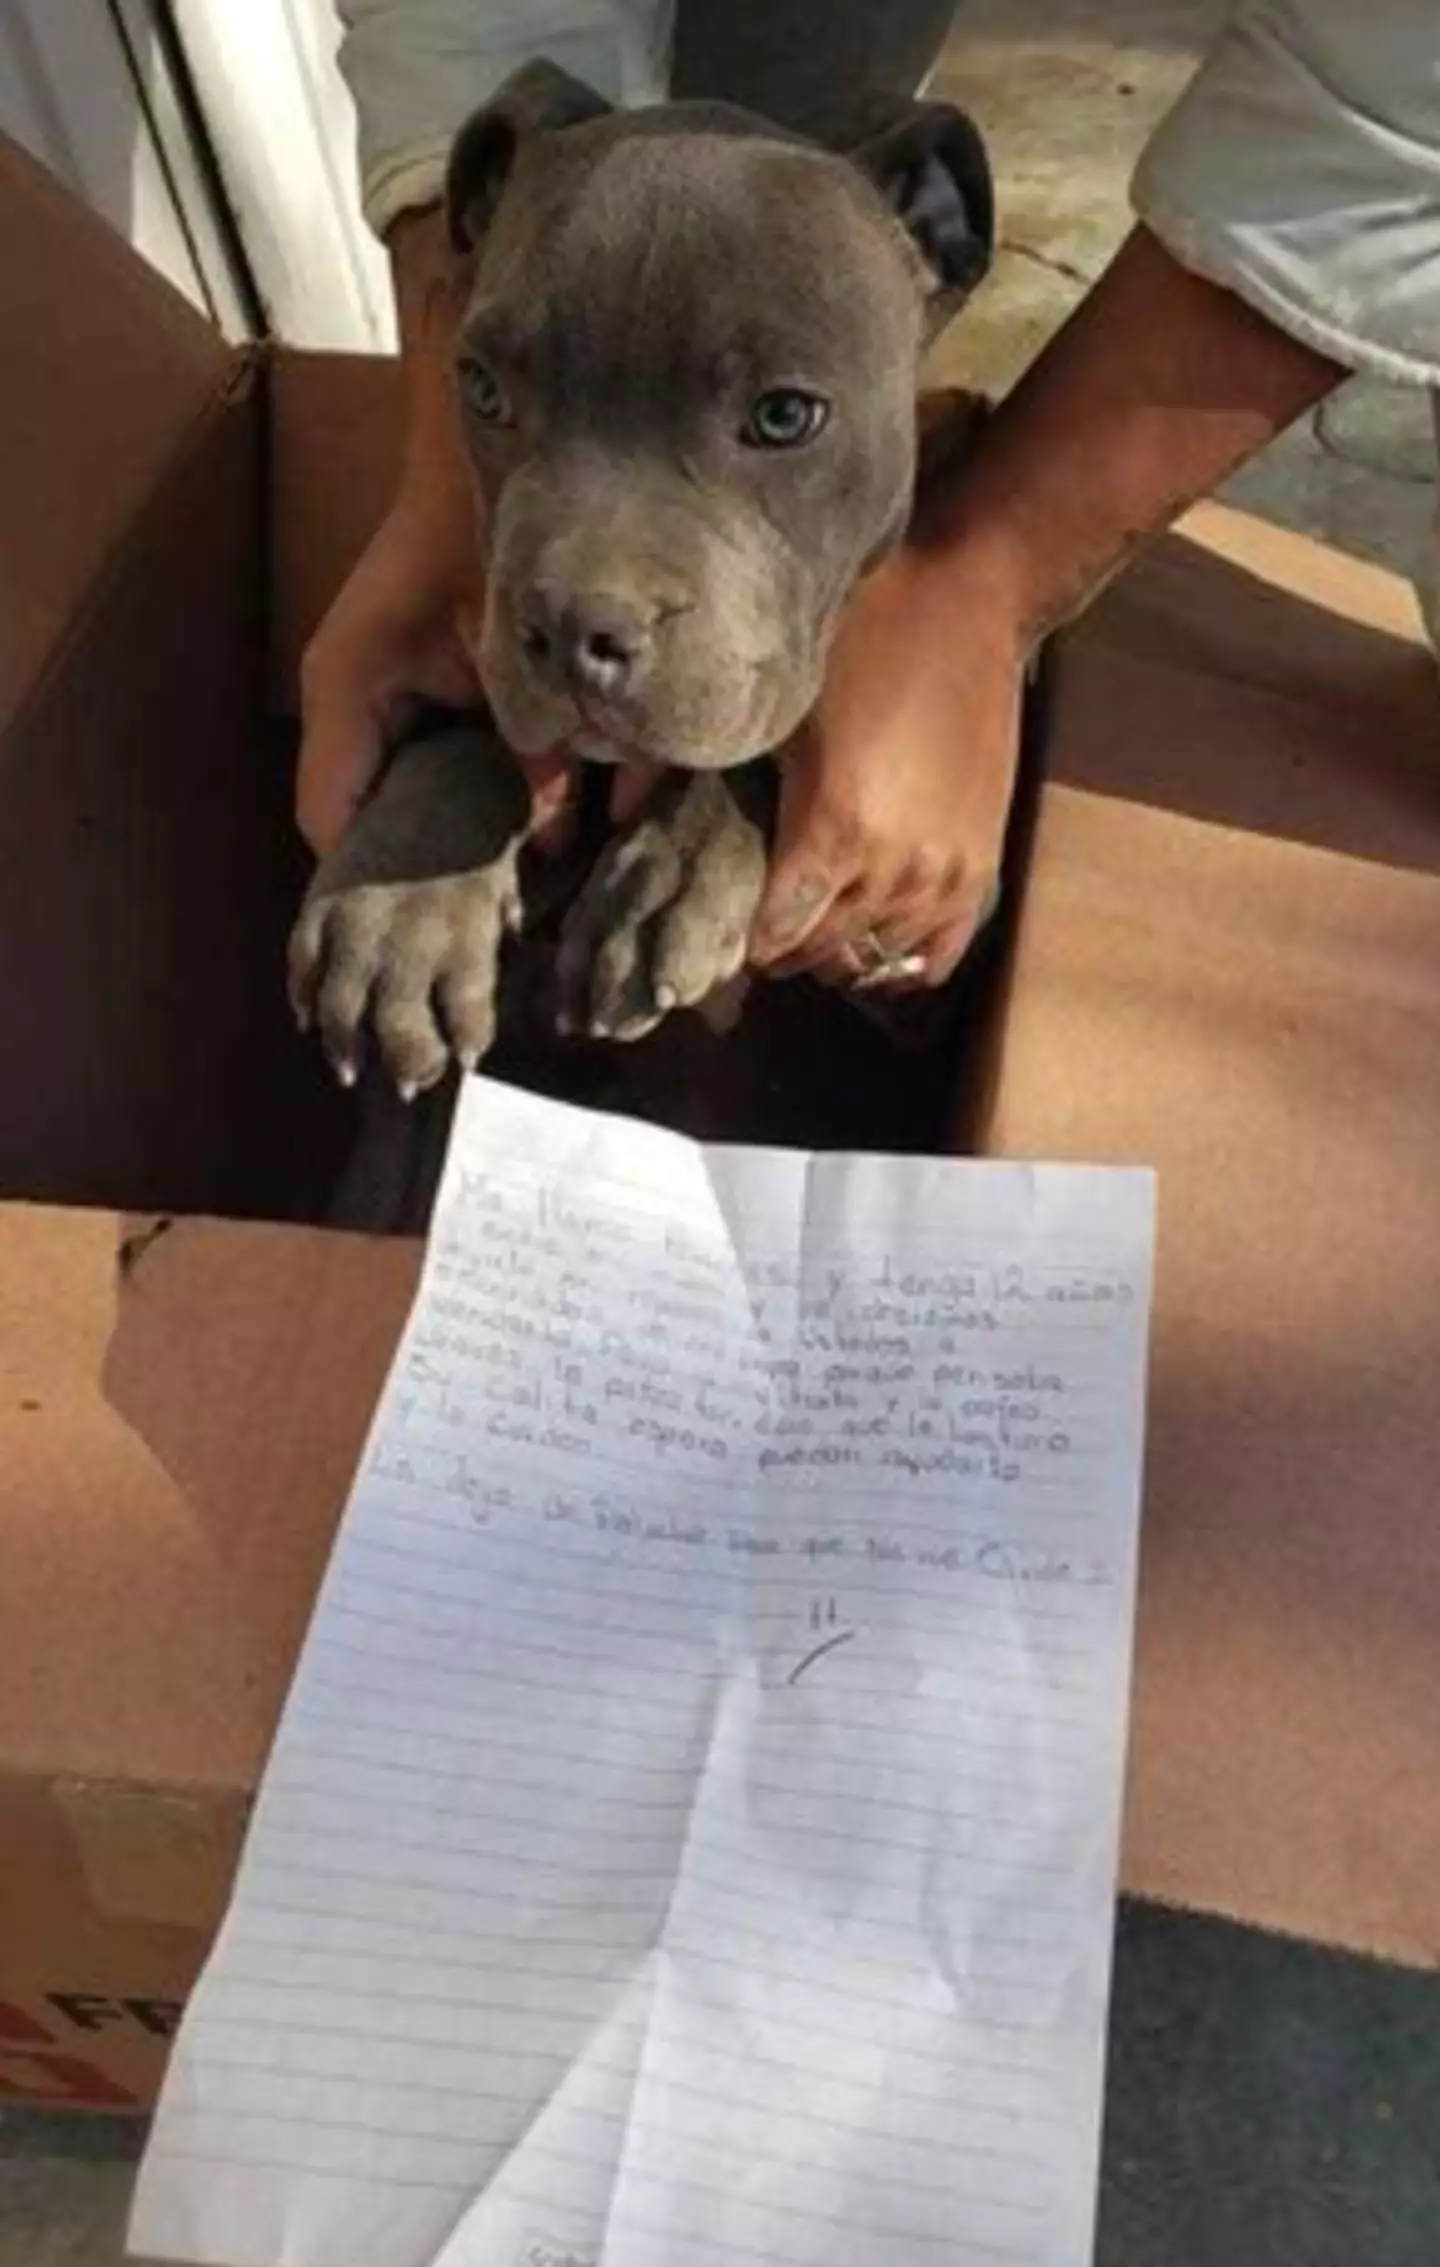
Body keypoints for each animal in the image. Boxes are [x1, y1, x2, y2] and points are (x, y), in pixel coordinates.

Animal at [292, 66, 993, 1092]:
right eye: (482, 388)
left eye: (786, 415)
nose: (569, 630)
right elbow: (460, 723)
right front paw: (398, 908)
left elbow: (748, 739)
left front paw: (676, 871)